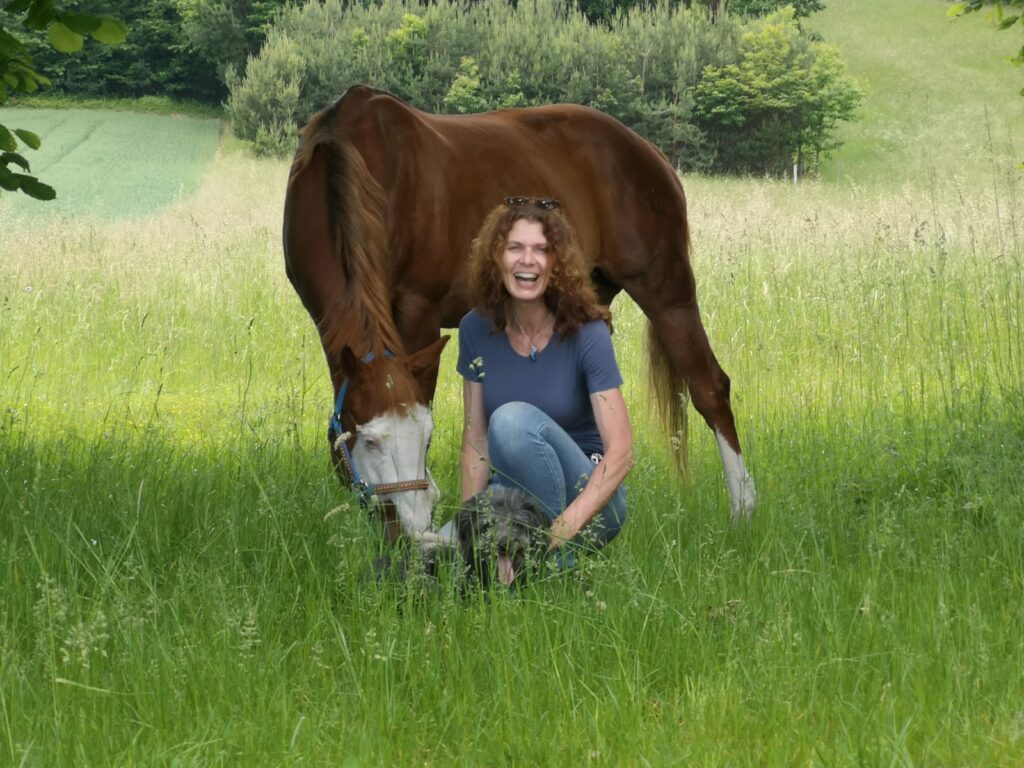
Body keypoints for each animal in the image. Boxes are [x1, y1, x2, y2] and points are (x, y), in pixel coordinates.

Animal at [284, 83, 757, 540]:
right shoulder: (328, 324)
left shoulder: (420, 316)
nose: (415, 524)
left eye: (427, 436)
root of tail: (649, 152)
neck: (354, 160)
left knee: (709, 386)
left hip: (667, 292)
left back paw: (743, 509)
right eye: (371, 442)